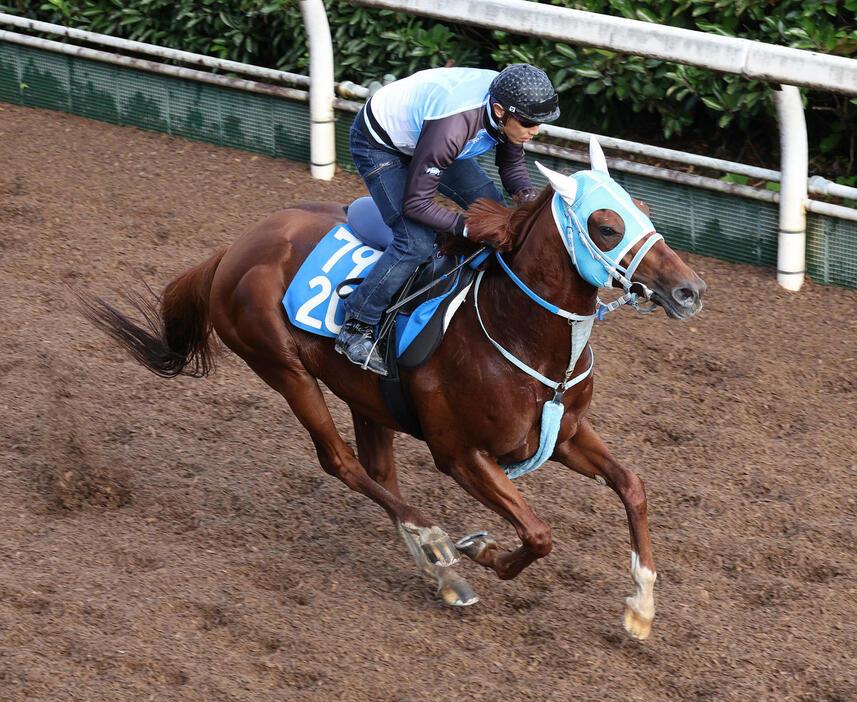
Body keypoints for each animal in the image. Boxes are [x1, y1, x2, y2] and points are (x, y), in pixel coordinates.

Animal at [82, 140, 704, 640]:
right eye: (606, 226)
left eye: (645, 211)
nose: (689, 290)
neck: (518, 332)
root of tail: (234, 248)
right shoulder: (460, 454)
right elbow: (539, 533)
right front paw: (480, 549)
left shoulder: (566, 434)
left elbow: (632, 486)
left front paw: (641, 607)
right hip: (283, 368)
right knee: (341, 463)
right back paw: (436, 542)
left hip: (366, 395)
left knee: (379, 472)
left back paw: (438, 567)